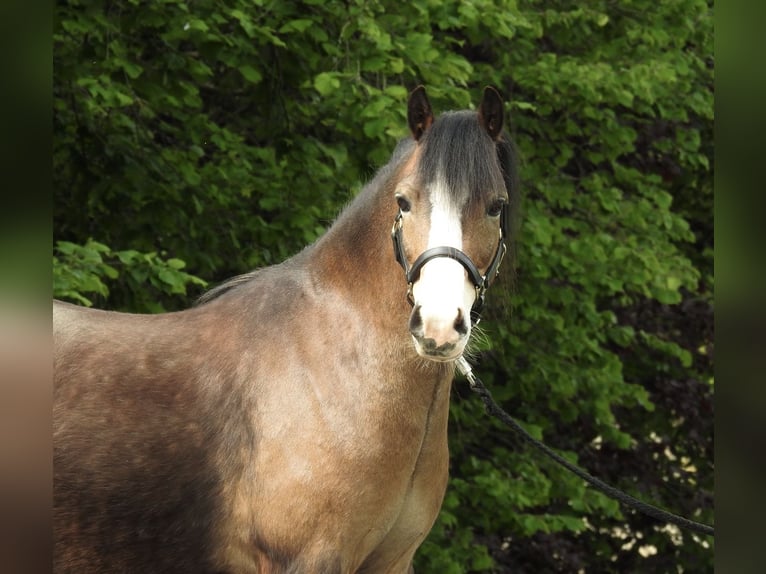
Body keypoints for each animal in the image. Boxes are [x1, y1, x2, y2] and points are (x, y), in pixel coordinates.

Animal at [53, 85, 519, 573]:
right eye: (404, 202)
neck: (336, 366)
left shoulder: (392, 562)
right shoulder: (309, 558)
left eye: (496, 206)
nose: (438, 325)